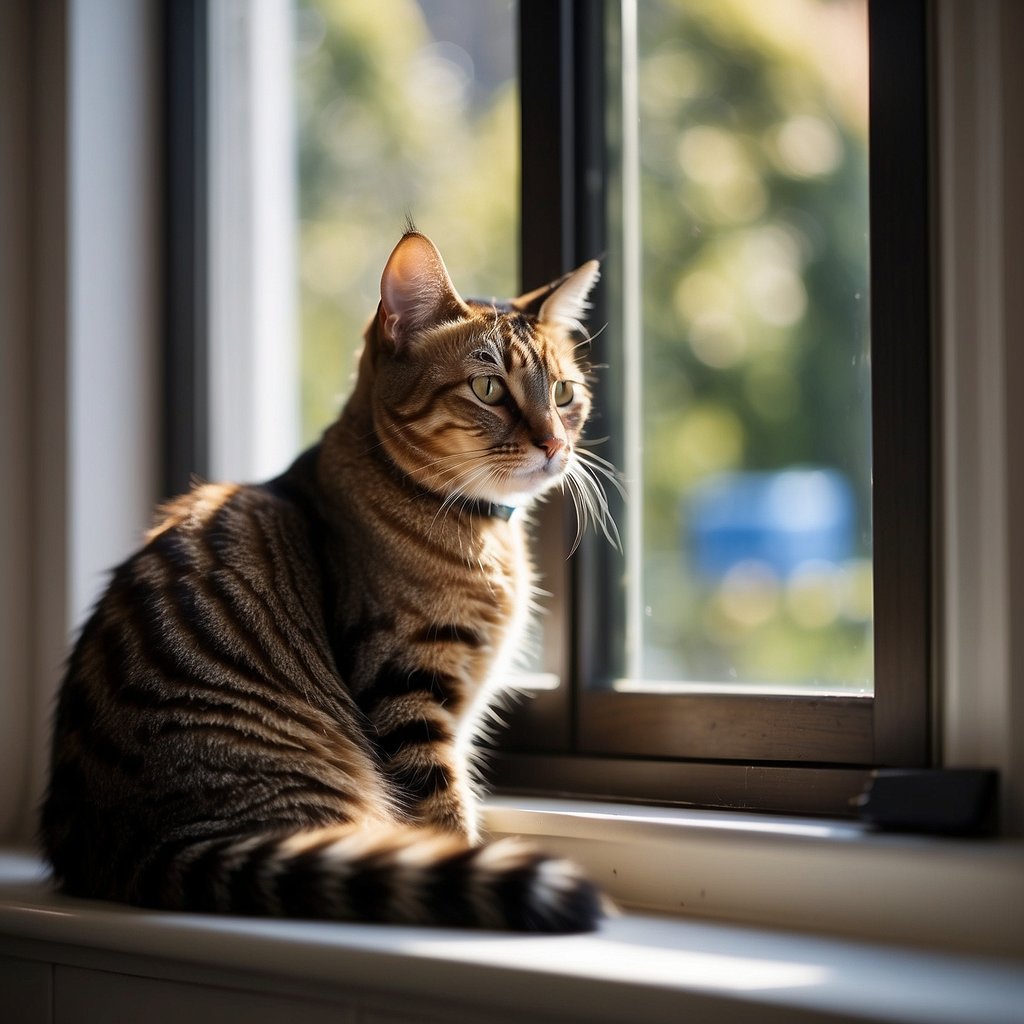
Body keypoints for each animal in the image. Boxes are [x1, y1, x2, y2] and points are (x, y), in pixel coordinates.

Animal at [44, 234, 610, 937]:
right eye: (488, 388)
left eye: (563, 393)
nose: (555, 444)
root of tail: (135, 846)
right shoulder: (405, 686)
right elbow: (442, 813)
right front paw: (464, 853)